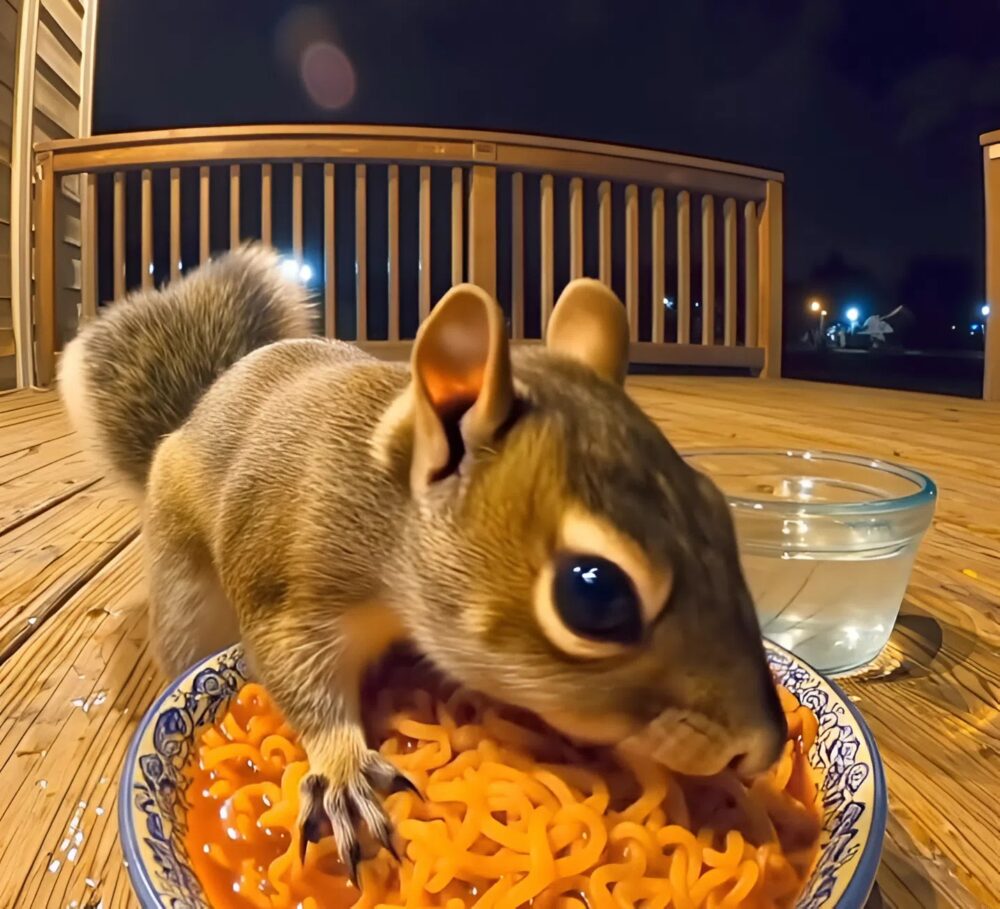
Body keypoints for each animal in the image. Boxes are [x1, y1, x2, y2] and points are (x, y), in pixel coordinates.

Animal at [59, 244, 786, 884]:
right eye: (595, 593)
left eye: (716, 506)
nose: (764, 747)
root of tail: (198, 406)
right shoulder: (291, 582)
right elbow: (294, 672)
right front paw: (345, 771)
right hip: (187, 595)